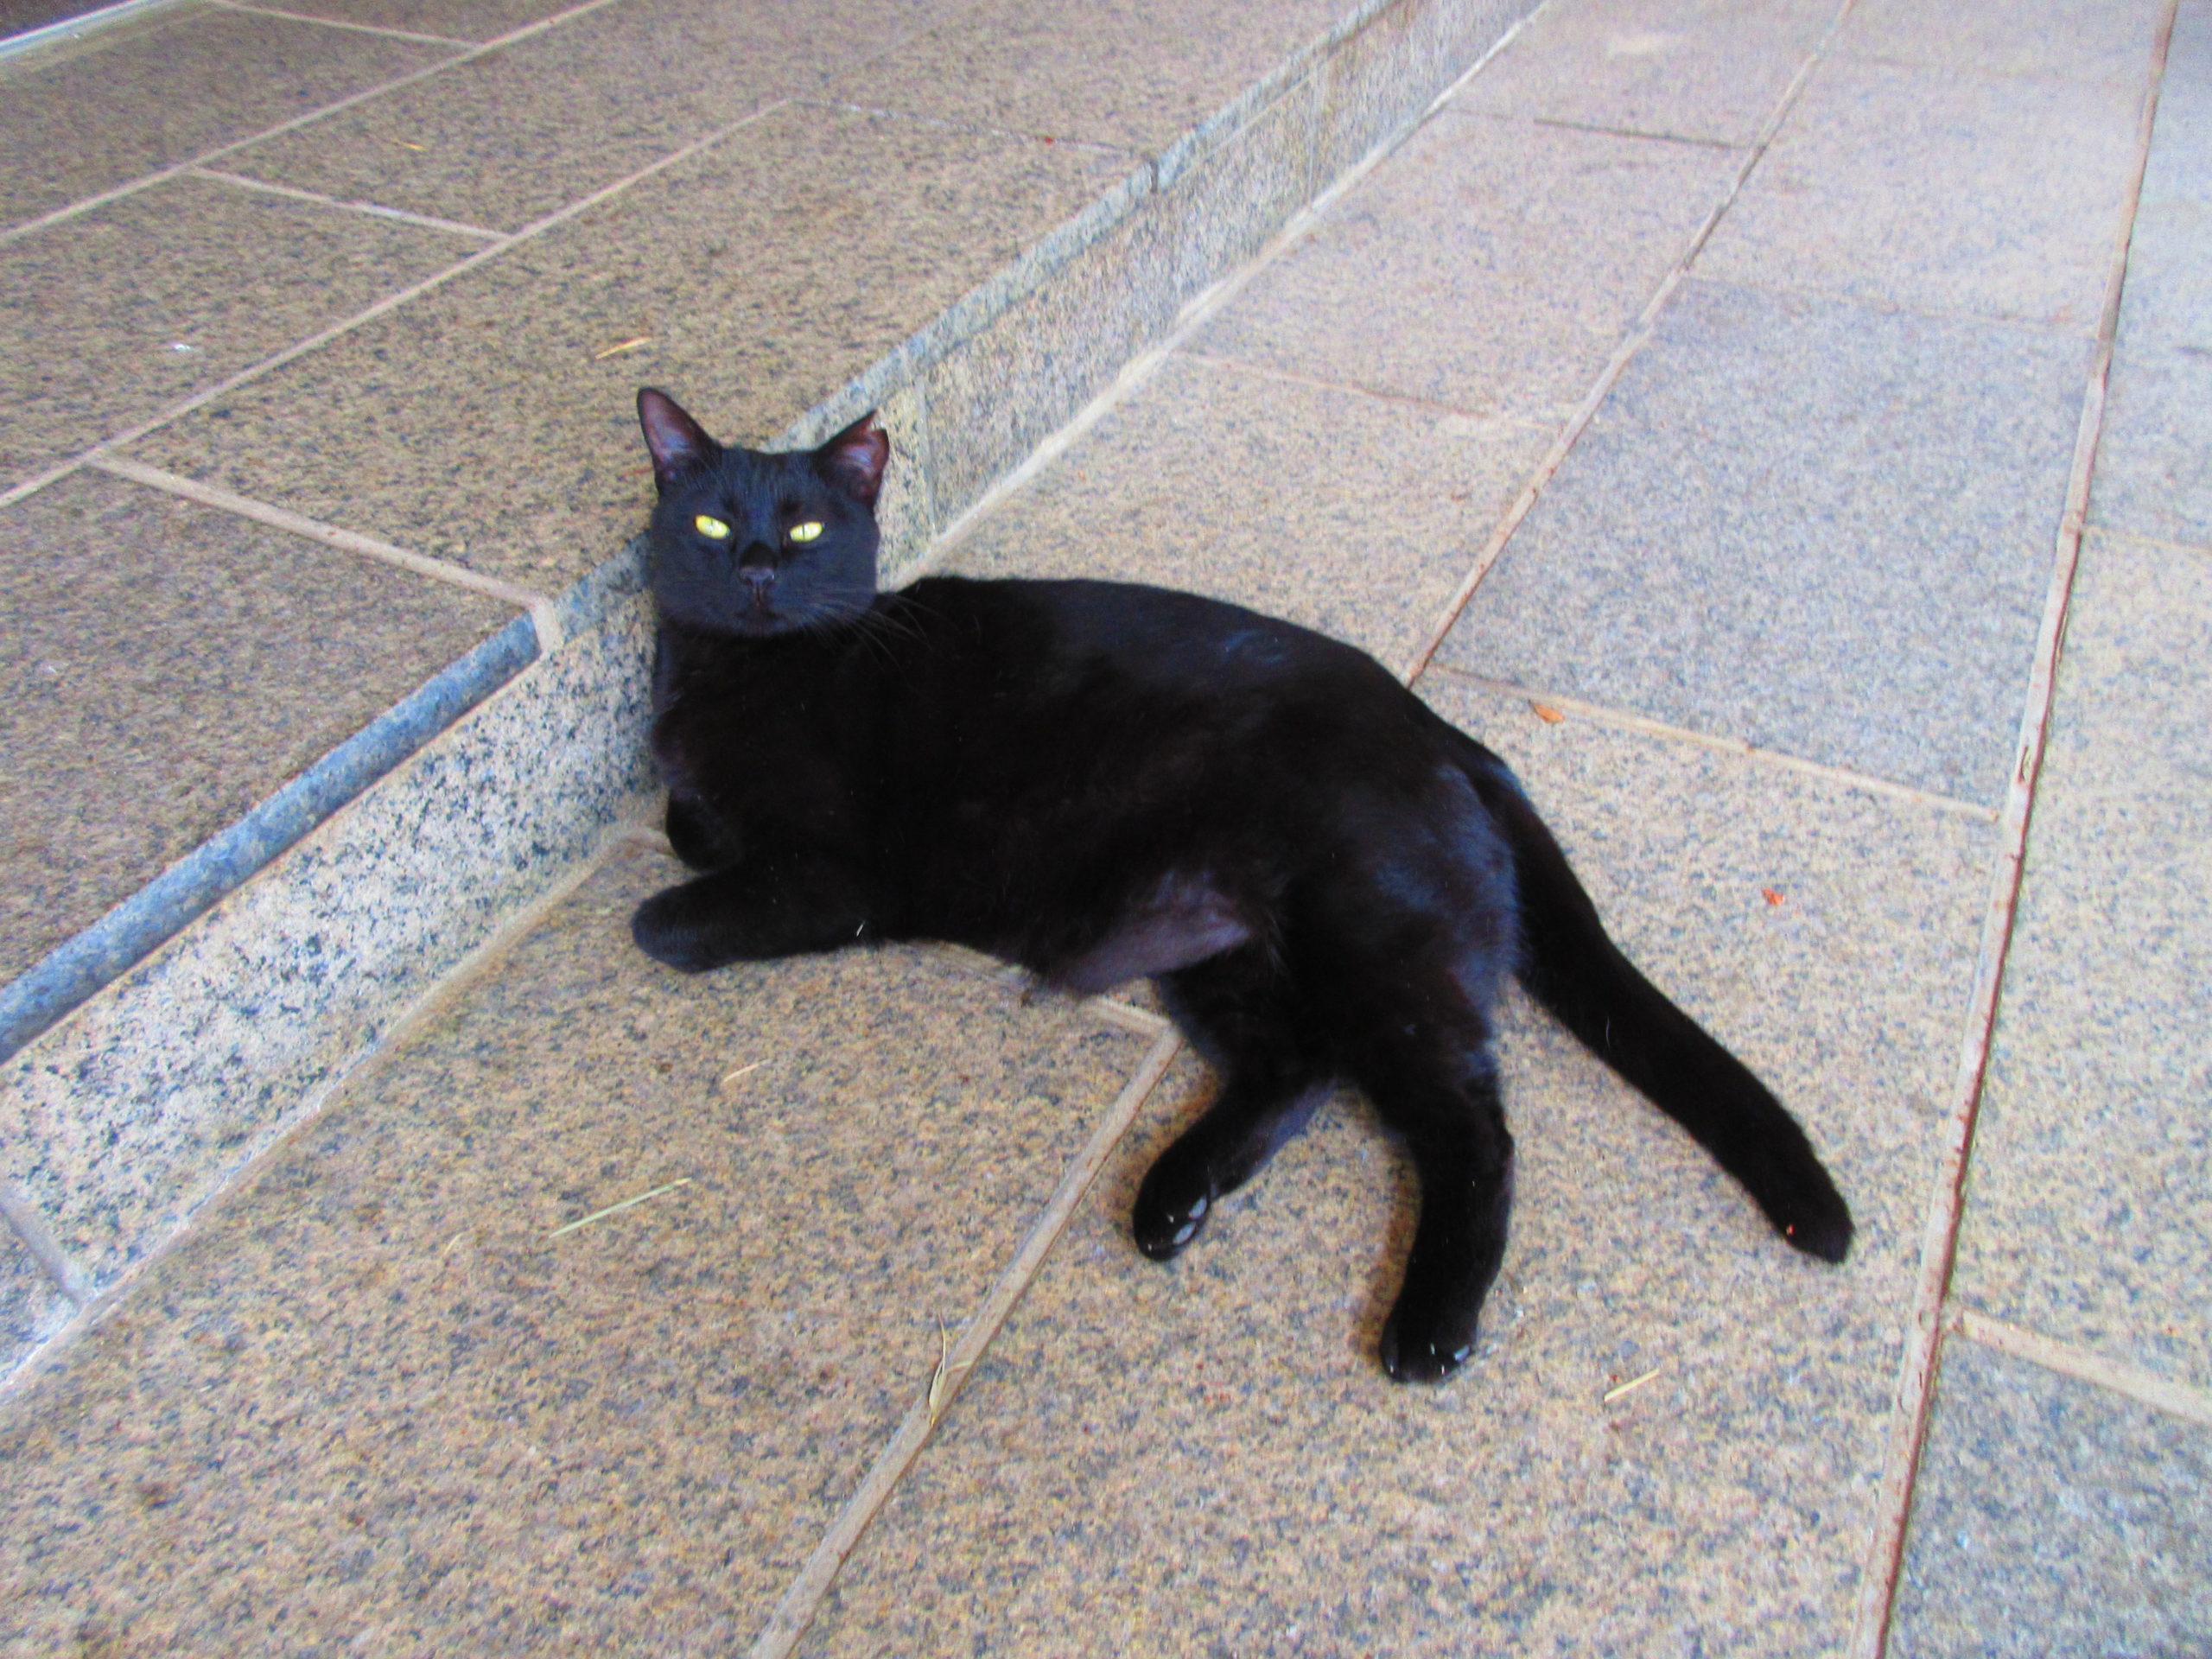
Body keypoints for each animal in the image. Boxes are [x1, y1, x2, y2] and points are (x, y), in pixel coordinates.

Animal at [628, 382, 1849, 1380]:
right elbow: (686, 821)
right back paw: (1175, 1199)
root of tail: (1443, 732)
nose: (754, 570)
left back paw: (1429, 1326)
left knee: (1472, 1127)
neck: (736, 669)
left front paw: (674, 895)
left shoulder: (837, 877)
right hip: (1222, 947)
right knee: (1298, 1069)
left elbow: (662, 918)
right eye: (708, 523)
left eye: (803, 527)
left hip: (1376, 946)